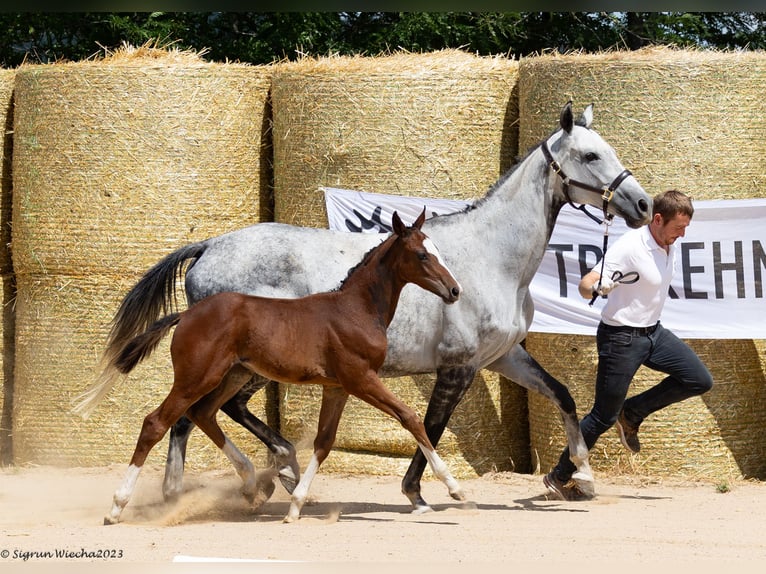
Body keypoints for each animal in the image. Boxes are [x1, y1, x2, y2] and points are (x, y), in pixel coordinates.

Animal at [78, 101, 652, 516]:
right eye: (591, 156)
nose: (643, 204)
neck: (493, 257)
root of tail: (209, 247)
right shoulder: (458, 366)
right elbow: (429, 427)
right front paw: (419, 493)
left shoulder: (502, 358)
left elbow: (563, 397)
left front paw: (580, 477)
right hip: (233, 365)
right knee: (193, 417)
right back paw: (217, 488)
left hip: (241, 366)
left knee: (206, 415)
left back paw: (266, 476)